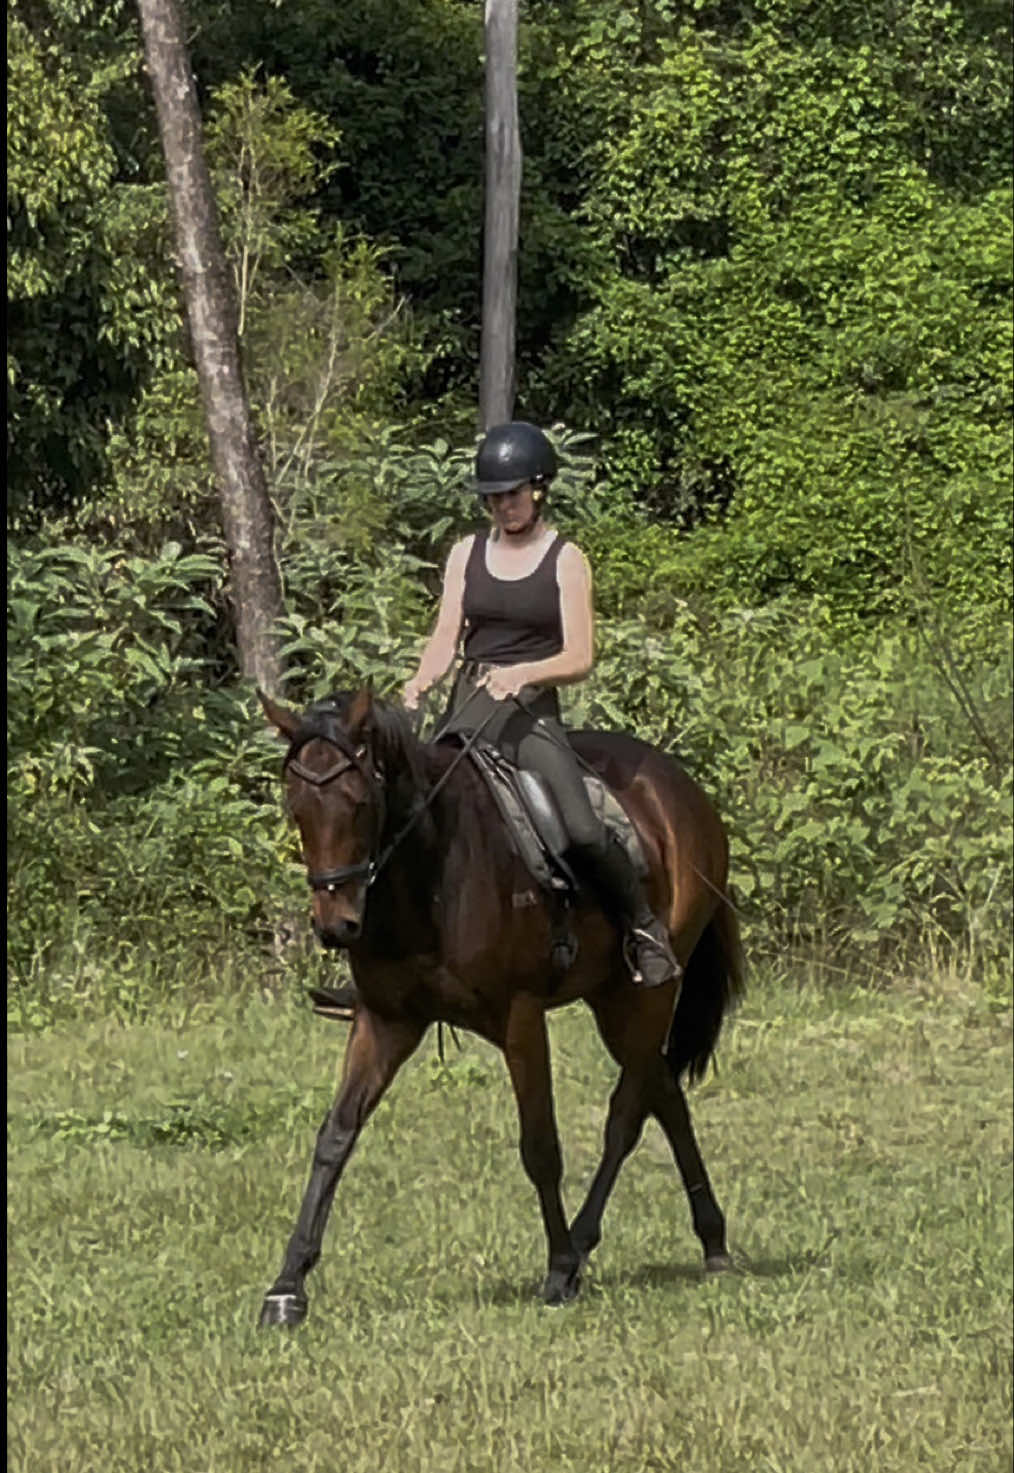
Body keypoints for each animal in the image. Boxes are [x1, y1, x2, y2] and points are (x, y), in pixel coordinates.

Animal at [256, 685, 745, 1326]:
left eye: (360, 803)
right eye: (296, 807)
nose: (337, 926)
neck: (431, 874)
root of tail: (681, 785)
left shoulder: (521, 1018)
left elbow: (540, 1146)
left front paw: (558, 1270)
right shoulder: (385, 1022)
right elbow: (335, 1138)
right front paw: (287, 1287)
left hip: (645, 994)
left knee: (627, 1113)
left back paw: (583, 1245)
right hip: (614, 999)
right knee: (663, 1094)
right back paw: (711, 1242)